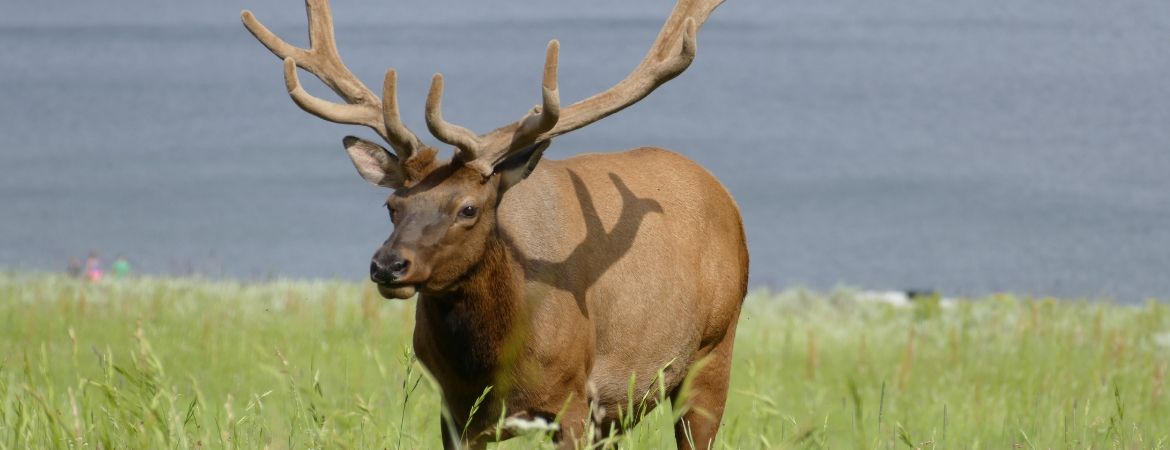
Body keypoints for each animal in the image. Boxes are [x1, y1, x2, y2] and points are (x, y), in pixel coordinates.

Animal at [242, 1, 748, 446]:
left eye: (468, 208)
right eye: (392, 205)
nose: (387, 266)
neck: (496, 364)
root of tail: (723, 194)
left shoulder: (575, 400)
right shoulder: (454, 409)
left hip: (713, 350)